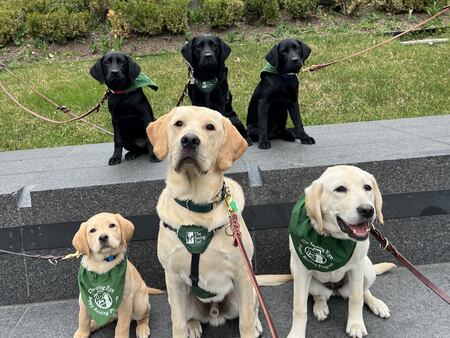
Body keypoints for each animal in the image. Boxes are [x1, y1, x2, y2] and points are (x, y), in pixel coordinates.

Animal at [146, 106, 262, 338]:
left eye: (210, 127)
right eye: (178, 123)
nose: (190, 140)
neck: (196, 206)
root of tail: (215, 313)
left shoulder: (242, 274)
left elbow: (245, 321)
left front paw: (250, 327)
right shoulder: (172, 277)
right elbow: (178, 323)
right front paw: (184, 329)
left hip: (246, 291)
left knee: (252, 309)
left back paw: (256, 324)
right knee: (186, 316)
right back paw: (193, 325)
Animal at [286, 166, 396, 338]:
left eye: (367, 187)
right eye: (340, 189)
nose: (367, 210)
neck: (333, 238)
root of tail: (336, 291)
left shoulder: (357, 269)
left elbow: (356, 298)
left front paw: (356, 324)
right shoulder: (300, 271)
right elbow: (299, 307)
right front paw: (296, 333)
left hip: (367, 269)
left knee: (364, 291)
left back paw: (376, 304)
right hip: (304, 279)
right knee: (319, 295)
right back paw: (320, 306)